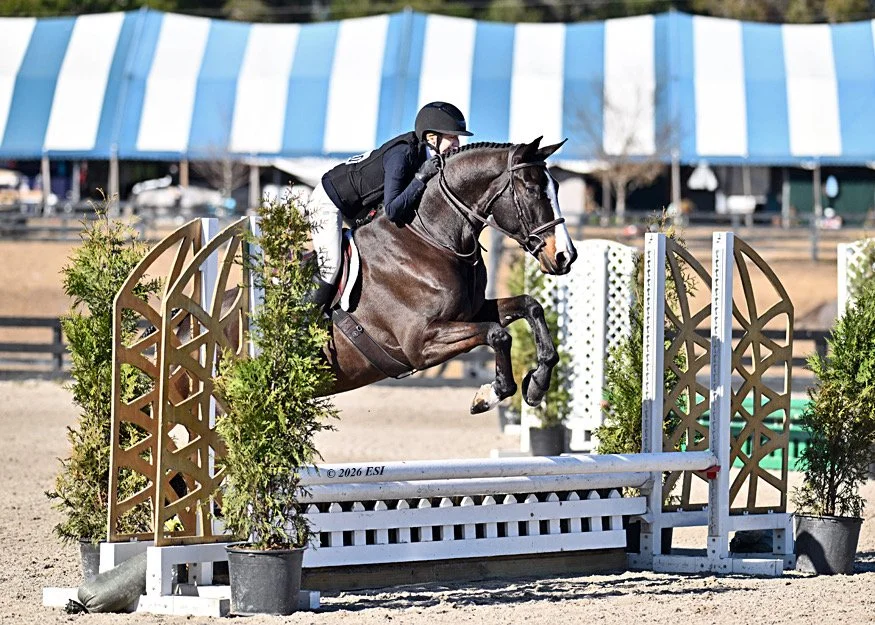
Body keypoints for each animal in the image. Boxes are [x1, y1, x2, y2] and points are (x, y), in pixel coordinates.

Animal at [321, 137, 577, 414]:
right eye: (531, 189)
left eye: (557, 188)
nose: (565, 256)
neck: (432, 239)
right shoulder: (420, 343)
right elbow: (497, 334)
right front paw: (489, 395)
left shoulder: (470, 313)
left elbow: (530, 306)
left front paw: (536, 385)